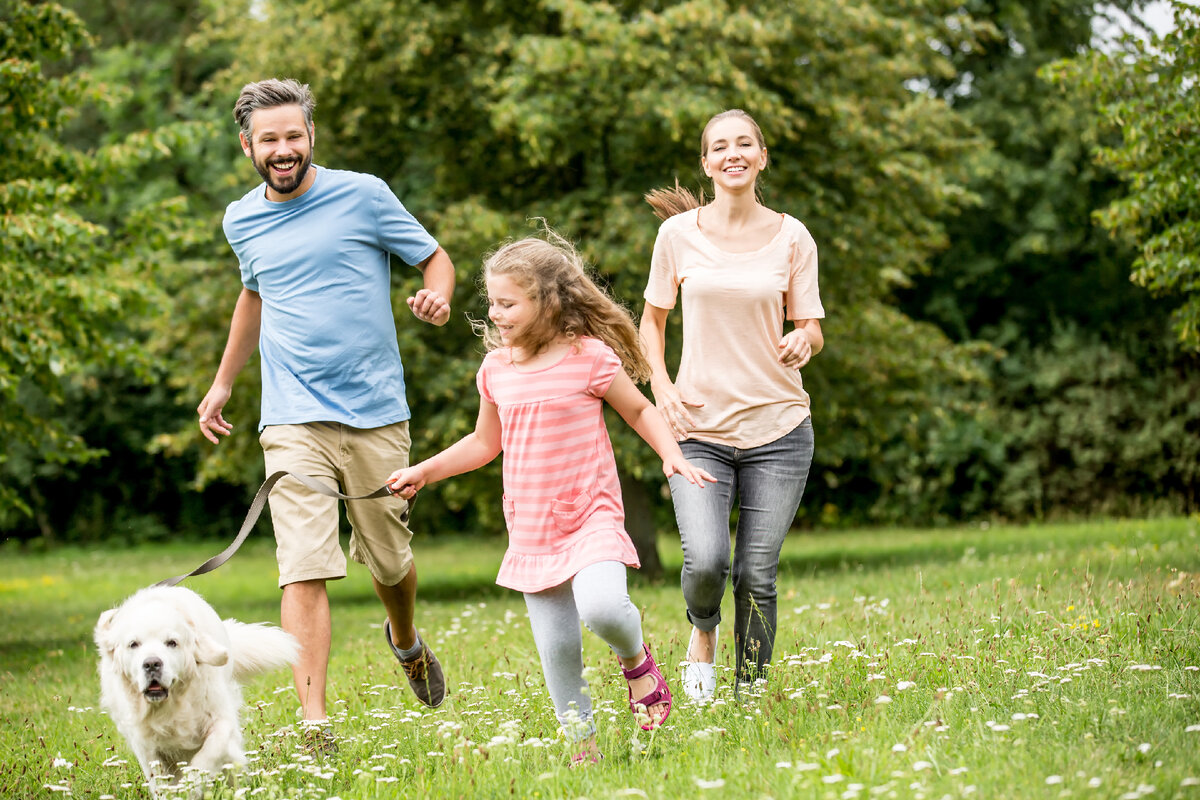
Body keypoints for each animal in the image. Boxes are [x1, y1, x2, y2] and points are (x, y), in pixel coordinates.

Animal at [94, 585, 300, 796]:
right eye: (133, 644)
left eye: (172, 642)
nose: (151, 664)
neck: (171, 706)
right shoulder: (145, 743)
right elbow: (158, 779)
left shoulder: (222, 721)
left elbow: (208, 756)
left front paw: (191, 786)